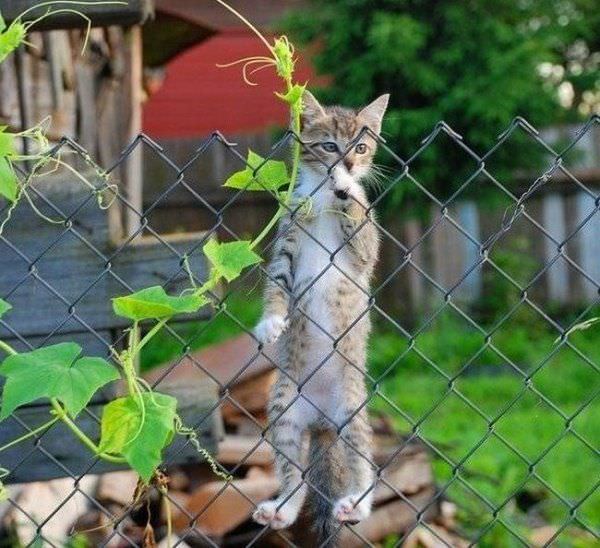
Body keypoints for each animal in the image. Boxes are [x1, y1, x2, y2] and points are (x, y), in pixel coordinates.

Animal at [250, 91, 386, 536]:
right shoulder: (286, 241)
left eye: (360, 148)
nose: (347, 167)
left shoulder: (366, 251)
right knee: (296, 475)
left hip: (353, 411)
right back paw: (283, 508)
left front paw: (348, 188)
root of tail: (323, 418)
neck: (325, 202)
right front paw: (272, 323)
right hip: (283, 411)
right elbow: (277, 284)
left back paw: (357, 504)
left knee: (364, 462)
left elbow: (360, 228)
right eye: (329, 146)